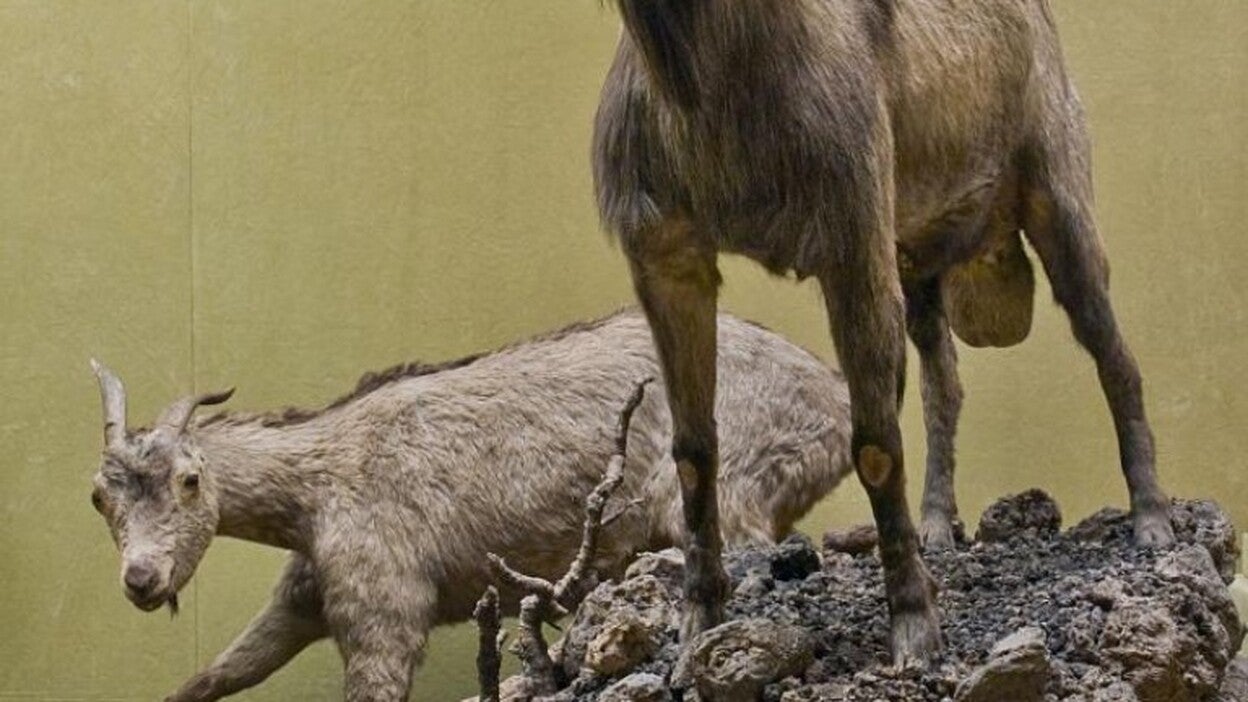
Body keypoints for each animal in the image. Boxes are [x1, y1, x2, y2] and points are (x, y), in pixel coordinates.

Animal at [87, 310, 852, 702]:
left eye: (190, 479)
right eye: (99, 496)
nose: (142, 581)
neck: (319, 483)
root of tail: (839, 403)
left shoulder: (385, 614)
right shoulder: (305, 601)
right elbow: (214, 675)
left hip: (732, 497)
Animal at [592, 0, 1172, 664]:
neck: (709, 79)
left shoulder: (852, 248)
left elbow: (874, 447)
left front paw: (914, 626)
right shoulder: (667, 260)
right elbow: (692, 452)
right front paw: (699, 618)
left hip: (1060, 208)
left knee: (1116, 360)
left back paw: (1152, 520)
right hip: (917, 262)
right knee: (943, 383)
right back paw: (938, 527)